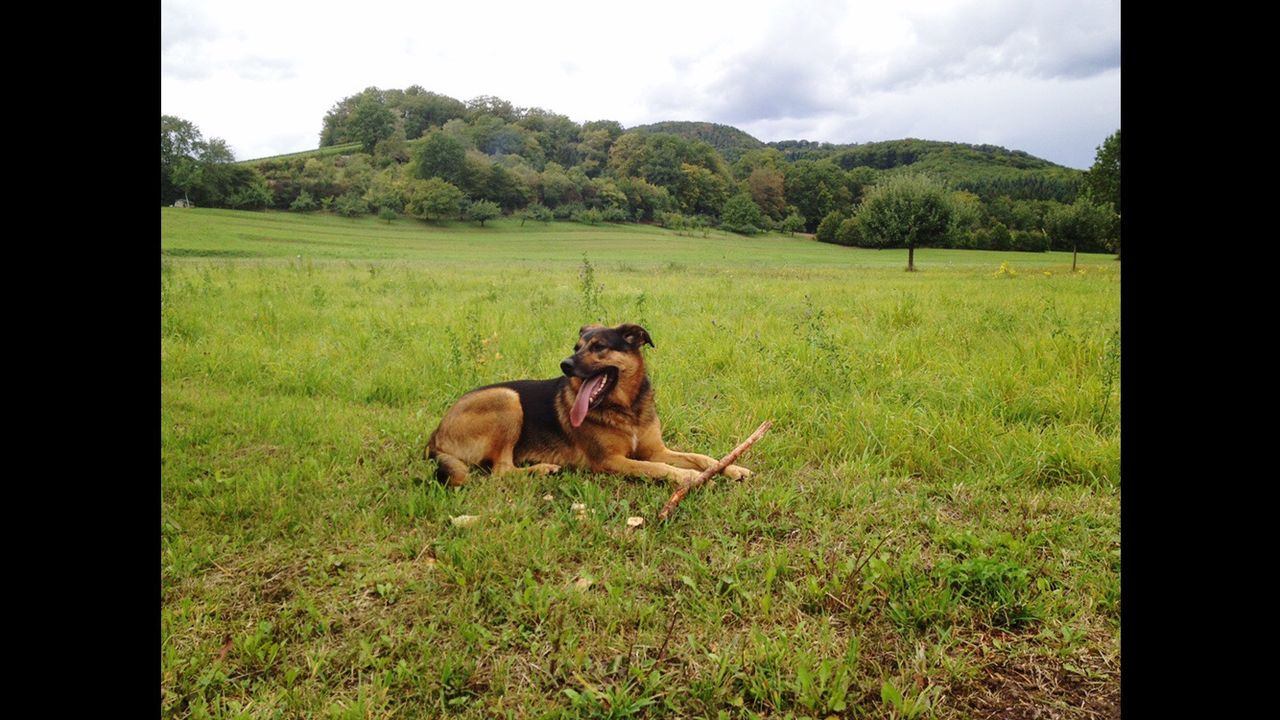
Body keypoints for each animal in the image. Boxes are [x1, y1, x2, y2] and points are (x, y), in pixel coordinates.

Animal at [424, 322, 752, 484]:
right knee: (501, 471)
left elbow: (702, 457)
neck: (626, 408)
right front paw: (689, 478)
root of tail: (435, 435)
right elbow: (658, 468)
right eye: (577, 347)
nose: (565, 365)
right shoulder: (611, 460)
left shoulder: (655, 449)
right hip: (507, 398)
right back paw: (543, 469)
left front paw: (731, 469)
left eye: (599, 347)